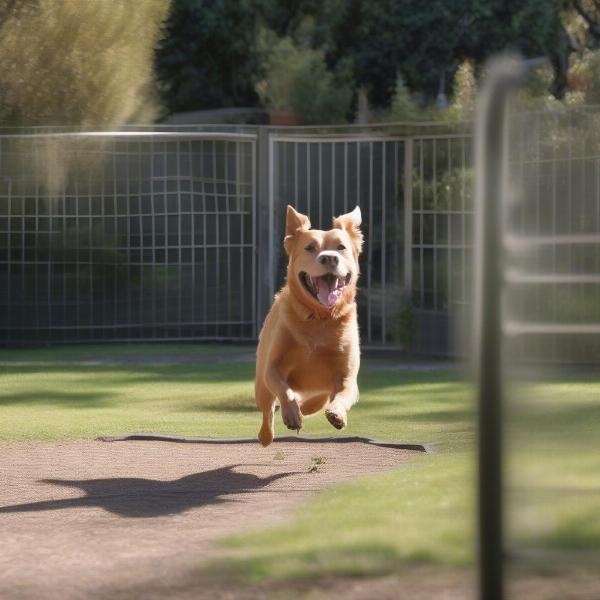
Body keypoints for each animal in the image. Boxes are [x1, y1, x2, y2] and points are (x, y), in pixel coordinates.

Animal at [255, 206, 364, 446]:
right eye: (310, 248)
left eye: (341, 247)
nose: (330, 258)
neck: (319, 318)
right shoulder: (273, 367)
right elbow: (283, 389)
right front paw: (291, 414)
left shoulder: (347, 376)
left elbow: (343, 394)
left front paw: (337, 414)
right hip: (261, 384)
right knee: (267, 409)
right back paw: (267, 434)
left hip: (320, 393)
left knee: (316, 402)